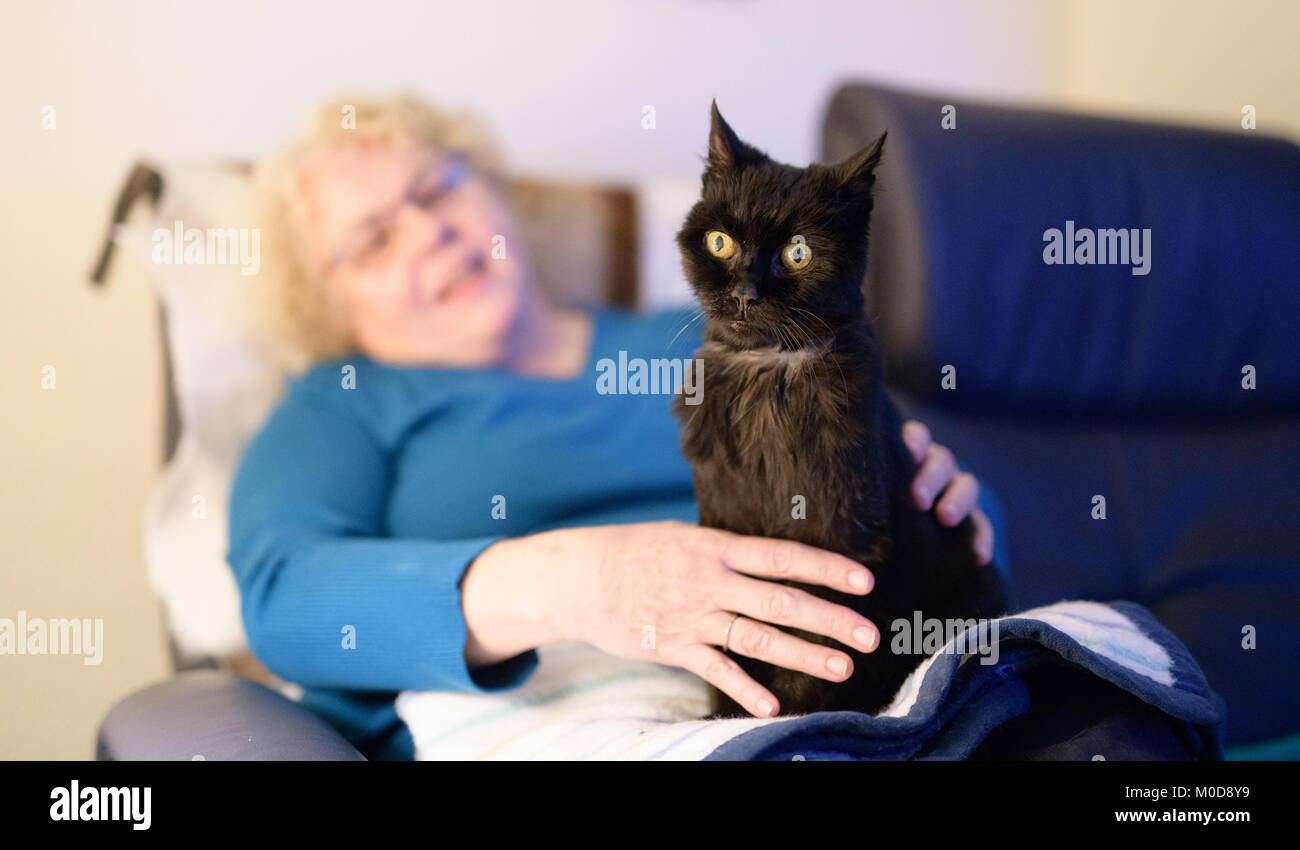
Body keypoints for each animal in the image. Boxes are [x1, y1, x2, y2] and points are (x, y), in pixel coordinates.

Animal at [670, 101, 1003, 717]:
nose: (746, 294)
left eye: (798, 252)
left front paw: (800, 717)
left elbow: (820, 651)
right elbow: (733, 642)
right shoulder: (725, 532)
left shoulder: (843, 542)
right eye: (720, 242)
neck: (768, 379)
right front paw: (729, 714)